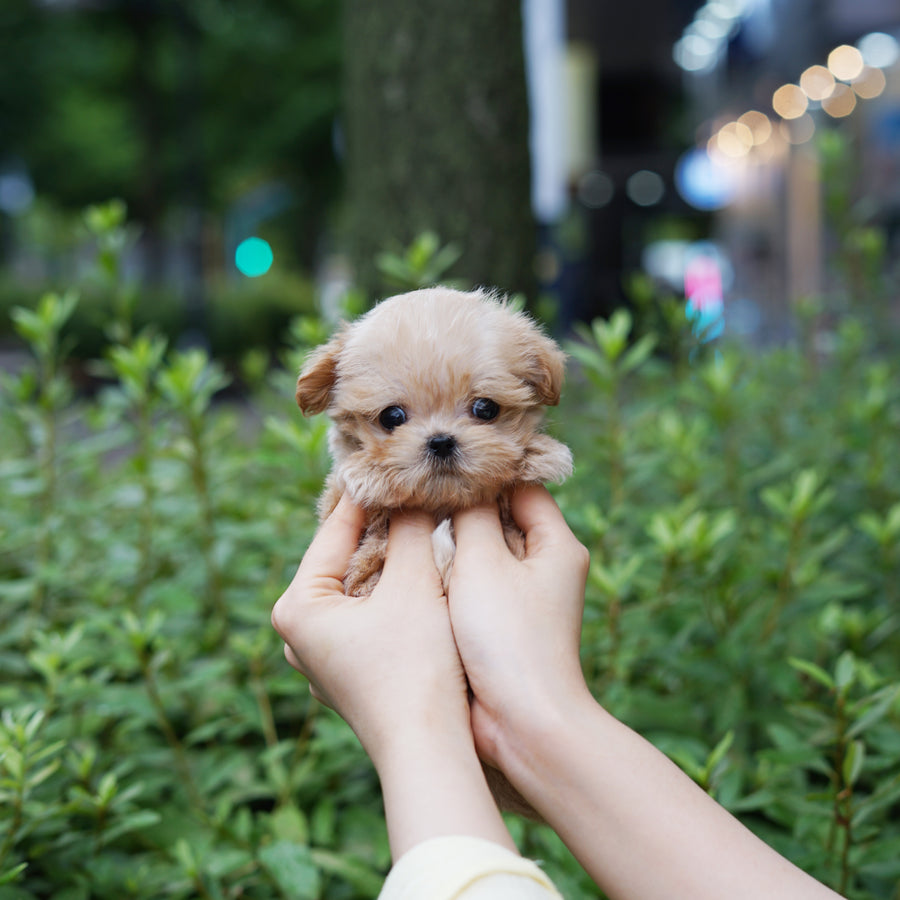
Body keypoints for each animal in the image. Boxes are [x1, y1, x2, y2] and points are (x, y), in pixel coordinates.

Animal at [298, 288, 572, 596]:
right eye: (391, 416)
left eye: (485, 408)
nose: (441, 442)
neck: (441, 506)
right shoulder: (357, 559)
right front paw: (370, 475)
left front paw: (540, 453)